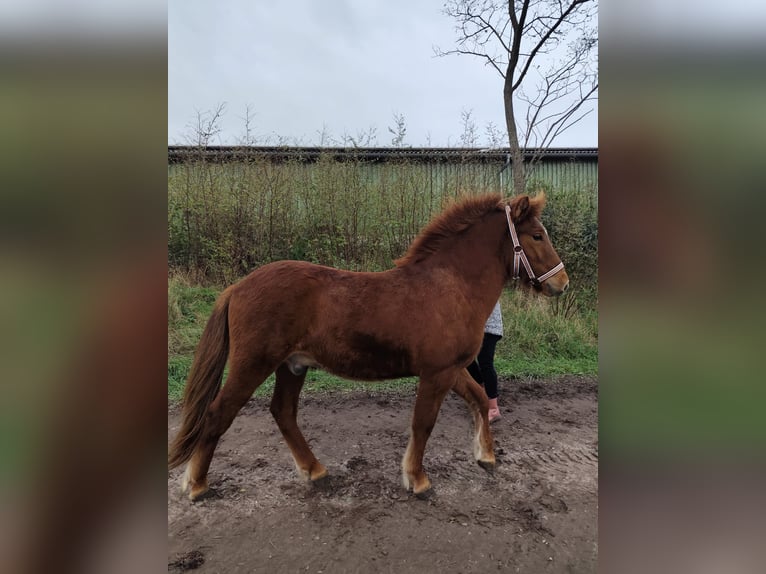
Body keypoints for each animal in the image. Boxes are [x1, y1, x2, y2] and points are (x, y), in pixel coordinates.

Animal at [168, 192, 569, 501]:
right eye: (537, 235)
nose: (562, 283)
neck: (449, 285)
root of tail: (237, 288)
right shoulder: (437, 373)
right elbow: (423, 423)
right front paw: (417, 479)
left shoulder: (452, 370)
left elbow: (481, 399)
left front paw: (486, 456)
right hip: (254, 363)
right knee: (219, 413)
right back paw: (197, 485)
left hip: (292, 365)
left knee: (283, 412)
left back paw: (315, 470)